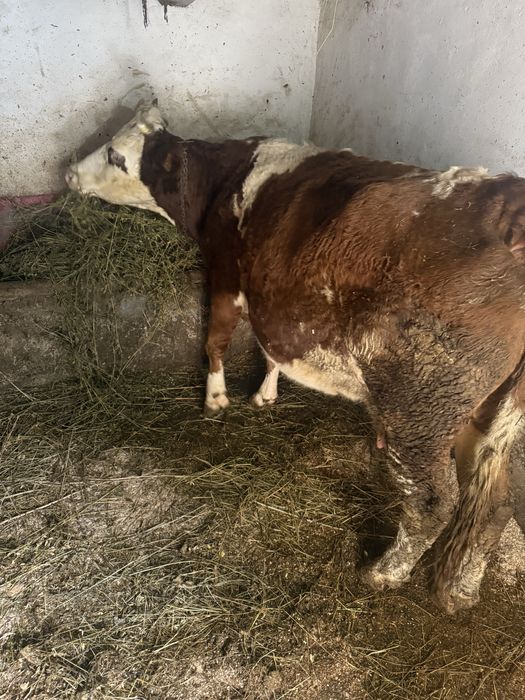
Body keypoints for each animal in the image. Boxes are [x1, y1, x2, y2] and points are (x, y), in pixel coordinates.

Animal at [65, 101, 525, 614]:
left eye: (114, 154)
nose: (67, 172)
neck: (225, 180)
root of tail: (506, 205)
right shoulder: (274, 295)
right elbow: (271, 351)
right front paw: (264, 394)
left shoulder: (225, 273)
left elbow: (215, 340)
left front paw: (215, 399)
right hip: (497, 418)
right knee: (498, 502)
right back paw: (461, 589)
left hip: (423, 407)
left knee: (433, 502)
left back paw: (384, 573)